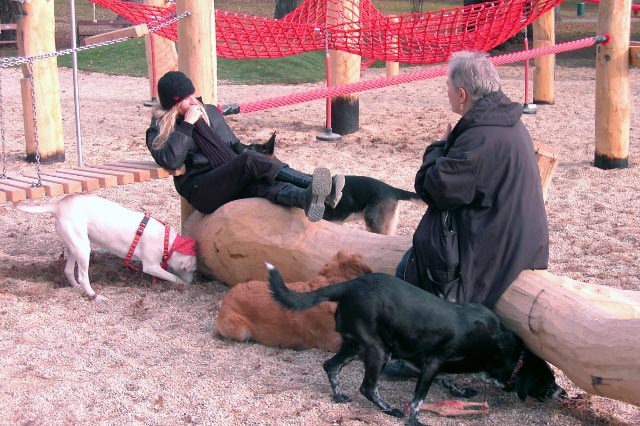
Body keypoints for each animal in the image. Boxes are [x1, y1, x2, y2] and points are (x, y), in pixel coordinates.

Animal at [16, 193, 198, 300]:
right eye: (194, 269)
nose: (195, 281)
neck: (170, 242)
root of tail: (58, 205)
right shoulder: (150, 266)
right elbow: (172, 276)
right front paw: (183, 283)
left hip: (74, 244)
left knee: (68, 271)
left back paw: (77, 288)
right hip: (83, 248)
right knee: (83, 277)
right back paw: (95, 296)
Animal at [268, 266, 568, 426]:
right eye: (549, 381)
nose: (563, 393)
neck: (499, 347)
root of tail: (350, 285)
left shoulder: (441, 366)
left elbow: (449, 380)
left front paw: (460, 389)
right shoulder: (432, 363)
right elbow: (418, 399)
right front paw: (413, 419)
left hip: (355, 346)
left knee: (330, 366)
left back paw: (339, 395)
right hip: (379, 351)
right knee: (368, 387)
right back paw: (389, 409)